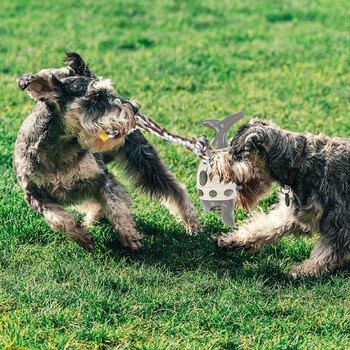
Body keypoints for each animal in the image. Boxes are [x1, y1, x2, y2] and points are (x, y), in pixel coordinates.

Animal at [13, 52, 201, 252]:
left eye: (109, 91)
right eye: (96, 95)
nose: (134, 109)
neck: (58, 148)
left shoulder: (102, 178)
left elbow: (115, 205)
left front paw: (129, 236)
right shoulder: (34, 194)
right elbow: (57, 219)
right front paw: (83, 237)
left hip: (144, 160)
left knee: (176, 190)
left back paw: (193, 224)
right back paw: (90, 221)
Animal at [211, 119, 350, 276]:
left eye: (235, 153)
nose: (213, 161)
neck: (299, 161)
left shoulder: (339, 224)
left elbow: (325, 253)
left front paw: (304, 271)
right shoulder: (295, 213)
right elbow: (264, 227)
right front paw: (230, 240)